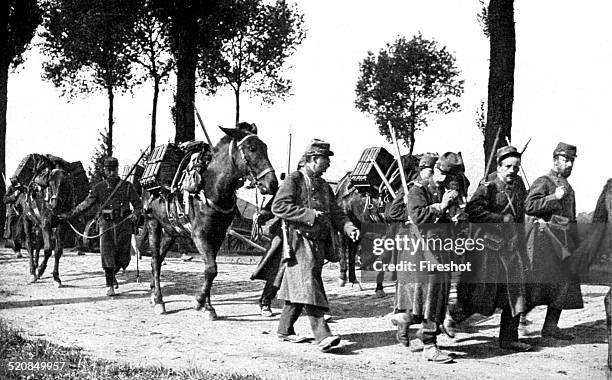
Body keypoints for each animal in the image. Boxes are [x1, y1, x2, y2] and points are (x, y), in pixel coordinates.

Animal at [18, 154, 74, 284]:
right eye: (50, 182)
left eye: (64, 182)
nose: (55, 204)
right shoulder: (46, 223)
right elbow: (48, 249)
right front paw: (40, 270)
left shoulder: (61, 224)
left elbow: (58, 251)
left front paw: (56, 277)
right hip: (27, 220)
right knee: (29, 244)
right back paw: (33, 271)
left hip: (38, 225)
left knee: (38, 244)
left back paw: (36, 265)